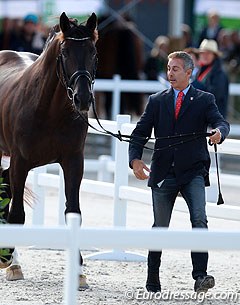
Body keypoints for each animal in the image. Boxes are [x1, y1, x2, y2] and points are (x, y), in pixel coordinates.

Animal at [0, 11, 98, 288]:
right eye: (64, 52)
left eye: (93, 51)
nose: (83, 99)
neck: (49, 109)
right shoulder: (20, 163)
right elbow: (18, 214)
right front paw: (13, 265)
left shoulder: (74, 161)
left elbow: (73, 211)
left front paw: (79, 272)